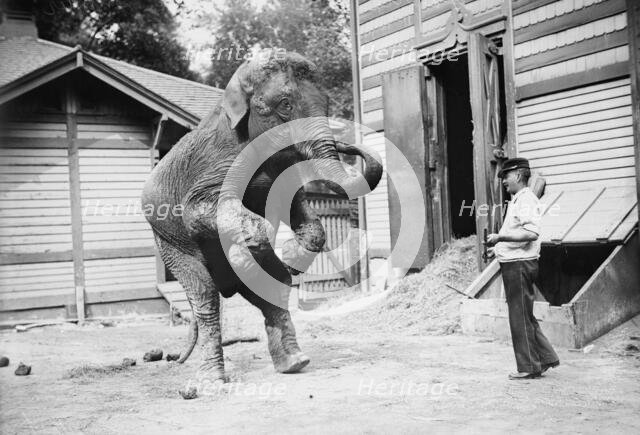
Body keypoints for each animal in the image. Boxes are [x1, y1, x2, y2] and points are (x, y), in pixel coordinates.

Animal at [141, 49, 383, 394]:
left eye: (326, 103)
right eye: (285, 104)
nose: (350, 145)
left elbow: (298, 208)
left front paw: (289, 260)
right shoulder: (215, 165)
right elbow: (196, 213)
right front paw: (253, 250)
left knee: (269, 287)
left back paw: (294, 362)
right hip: (168, 242)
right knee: (205, 296)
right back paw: (212, 382)